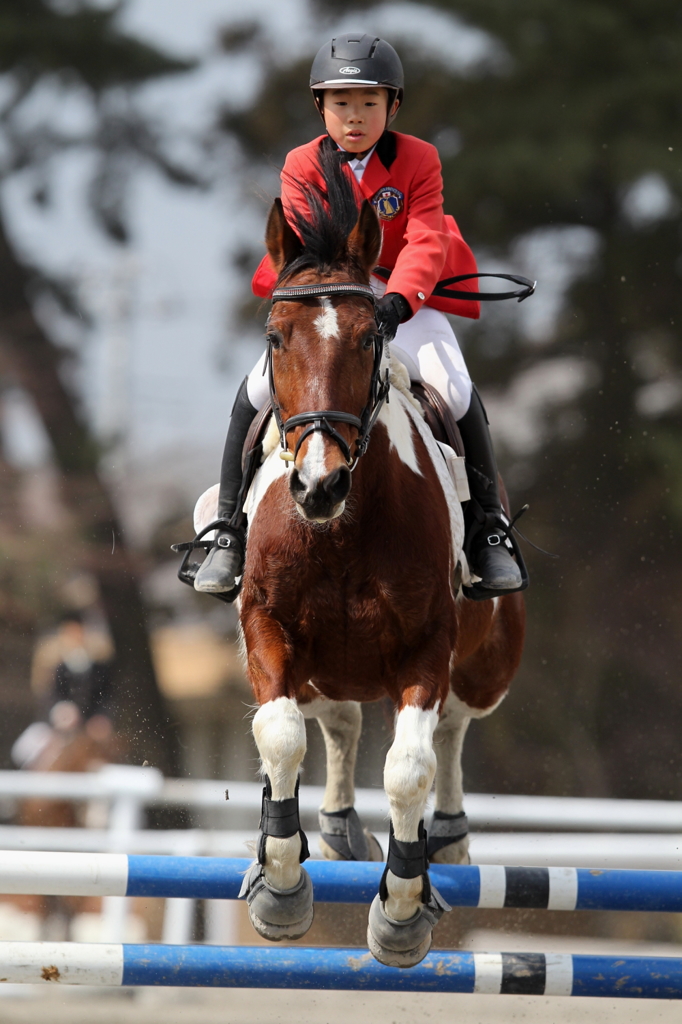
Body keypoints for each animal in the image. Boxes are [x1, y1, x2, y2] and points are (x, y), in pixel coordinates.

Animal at [193, 153, 522, 966]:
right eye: (276, 337)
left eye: (372, 337)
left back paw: (449, 837)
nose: (319, 485)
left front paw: (401, 912)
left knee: (454, 724)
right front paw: (281, 890)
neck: (338, 530)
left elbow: (410, 767)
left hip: (487, 661)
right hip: (319, 665)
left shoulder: (427, 648)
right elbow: (280, 735)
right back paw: (339, 826)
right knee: (336, 717)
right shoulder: (267, 629)